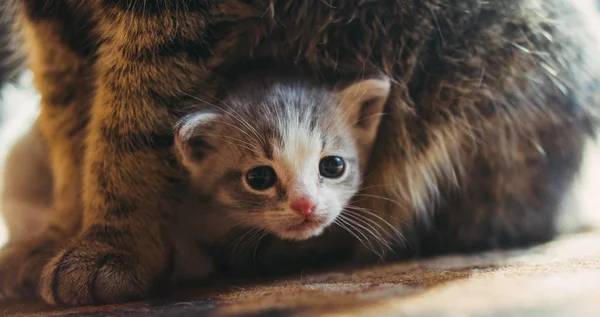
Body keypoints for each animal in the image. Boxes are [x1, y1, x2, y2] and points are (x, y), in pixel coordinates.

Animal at [1, 0, 600, 306]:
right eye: (259, 178)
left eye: (332, 166)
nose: (307, 206)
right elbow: (65, 107)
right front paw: (62, 229)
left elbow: (133, 115)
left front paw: (113, 247)